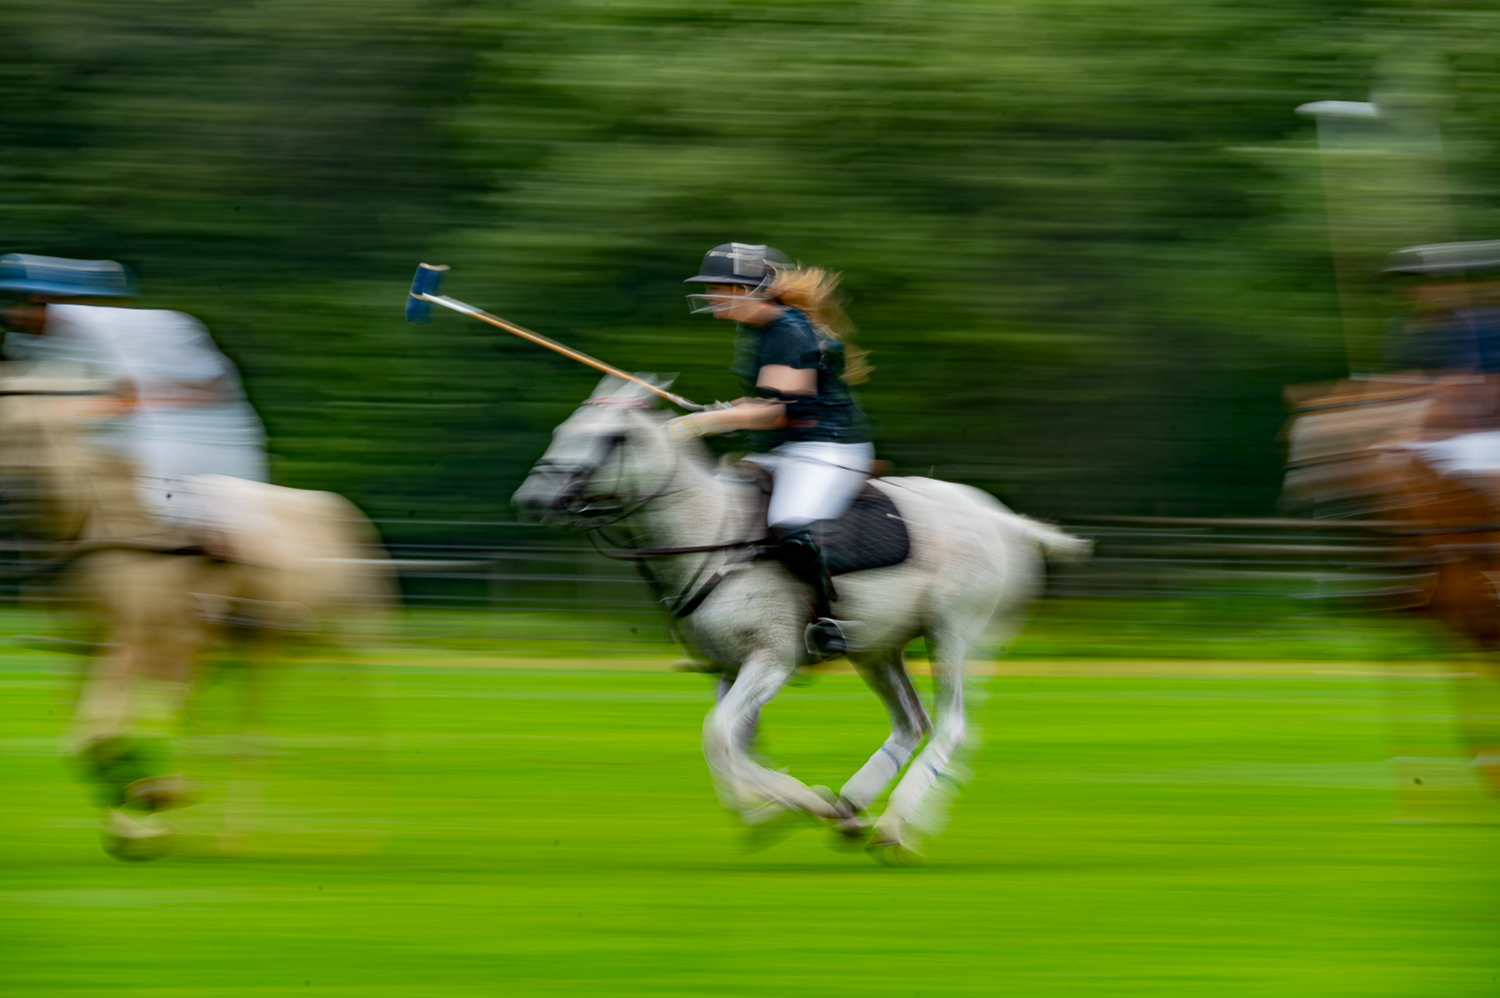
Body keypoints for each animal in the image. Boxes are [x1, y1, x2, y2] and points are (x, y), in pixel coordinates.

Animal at [0, 364, 393, 858]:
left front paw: (150, 803)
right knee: (220, 733)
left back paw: (357, 833)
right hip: (231, 650)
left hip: (307, 643)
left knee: (309, 729)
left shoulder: (128, 645)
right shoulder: (79, 652)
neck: (85, 528)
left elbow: (97, 735)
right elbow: (86, 742)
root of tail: (346, 516)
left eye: (16, 429)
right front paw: (141, 820)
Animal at [516, 378, 1092, 858]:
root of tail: (1007, 521)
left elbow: (718, 737)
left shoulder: (771, 658)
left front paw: (794, 805)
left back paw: (893, 825)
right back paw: (853, 806)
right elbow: (735, 743)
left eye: (610, 437)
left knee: (952, 725)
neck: (709, 533)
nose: (532, 499)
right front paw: (770, 812)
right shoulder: (728, 667)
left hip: (956, 632)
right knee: (912, 723)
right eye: (563, 430)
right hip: (878, 648)